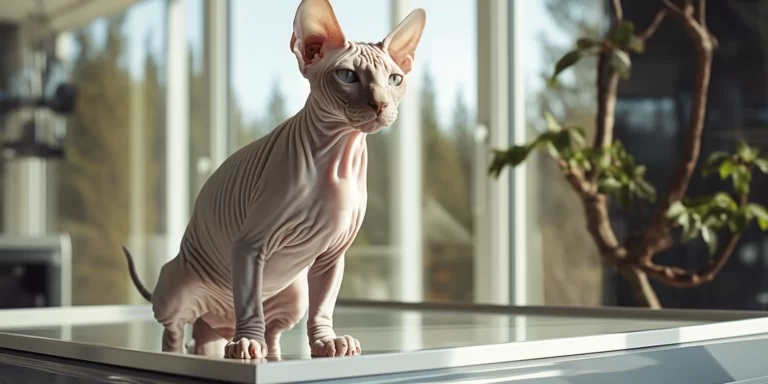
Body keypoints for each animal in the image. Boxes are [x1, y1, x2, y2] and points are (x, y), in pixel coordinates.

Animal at [120, 0, 426, 360]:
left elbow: (323, 306)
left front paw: (326, 342)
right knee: (176, 328)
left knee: (270, 329)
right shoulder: (249, 246)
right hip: (177, 287)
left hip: (294, 294)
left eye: (395, 79)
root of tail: (220, 323)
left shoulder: (333, 256)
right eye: (348, 75)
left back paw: (259, 348)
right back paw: (188, 350)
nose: (381, 104)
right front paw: (247, 343)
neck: (338, 158)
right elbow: (250, 304)